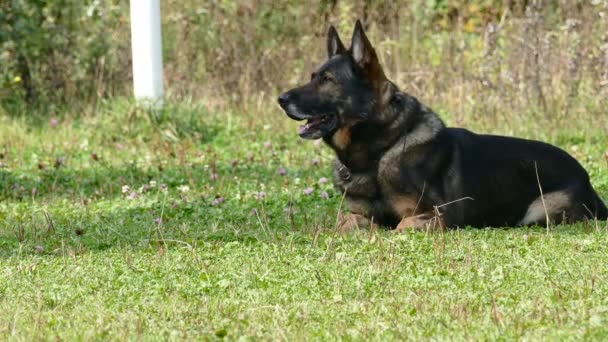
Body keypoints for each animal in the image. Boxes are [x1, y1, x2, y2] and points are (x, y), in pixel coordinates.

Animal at [278, 20, 604, 230]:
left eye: (327, 80)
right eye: (312, 76)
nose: (281, 99)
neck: (381, 151)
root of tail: (588, 180)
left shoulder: (436, 216)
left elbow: (401, 227)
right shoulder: (357, 215)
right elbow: (344, 222)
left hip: (539, 209)